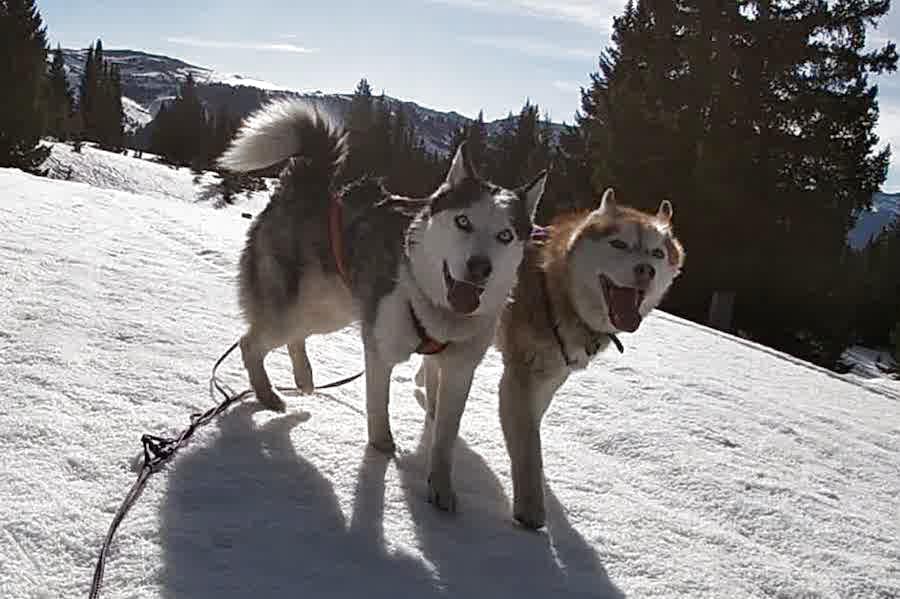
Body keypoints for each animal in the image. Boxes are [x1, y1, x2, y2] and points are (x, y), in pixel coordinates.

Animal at [218, 99, 547, 511]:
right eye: (463, 221)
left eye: (505, 235)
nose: (480, 267)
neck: (437, 307)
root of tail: (309, 181)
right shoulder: (380, 350)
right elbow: (380, 407)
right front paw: (381, 450)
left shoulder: (459, 370)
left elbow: (444, 433)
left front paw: (441, 487)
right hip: (295, 309)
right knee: (250, 343)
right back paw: (266, 394)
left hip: (330, 310)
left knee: (295, 337)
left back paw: (304, 377)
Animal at [416, 188, 685, 527]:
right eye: (619, 244)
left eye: (657, 254)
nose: (645, 271)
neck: (557, 291)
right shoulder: (519, 375)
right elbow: (529, 445)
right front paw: (531, 508)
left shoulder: (552, 374)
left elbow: (534, 422)